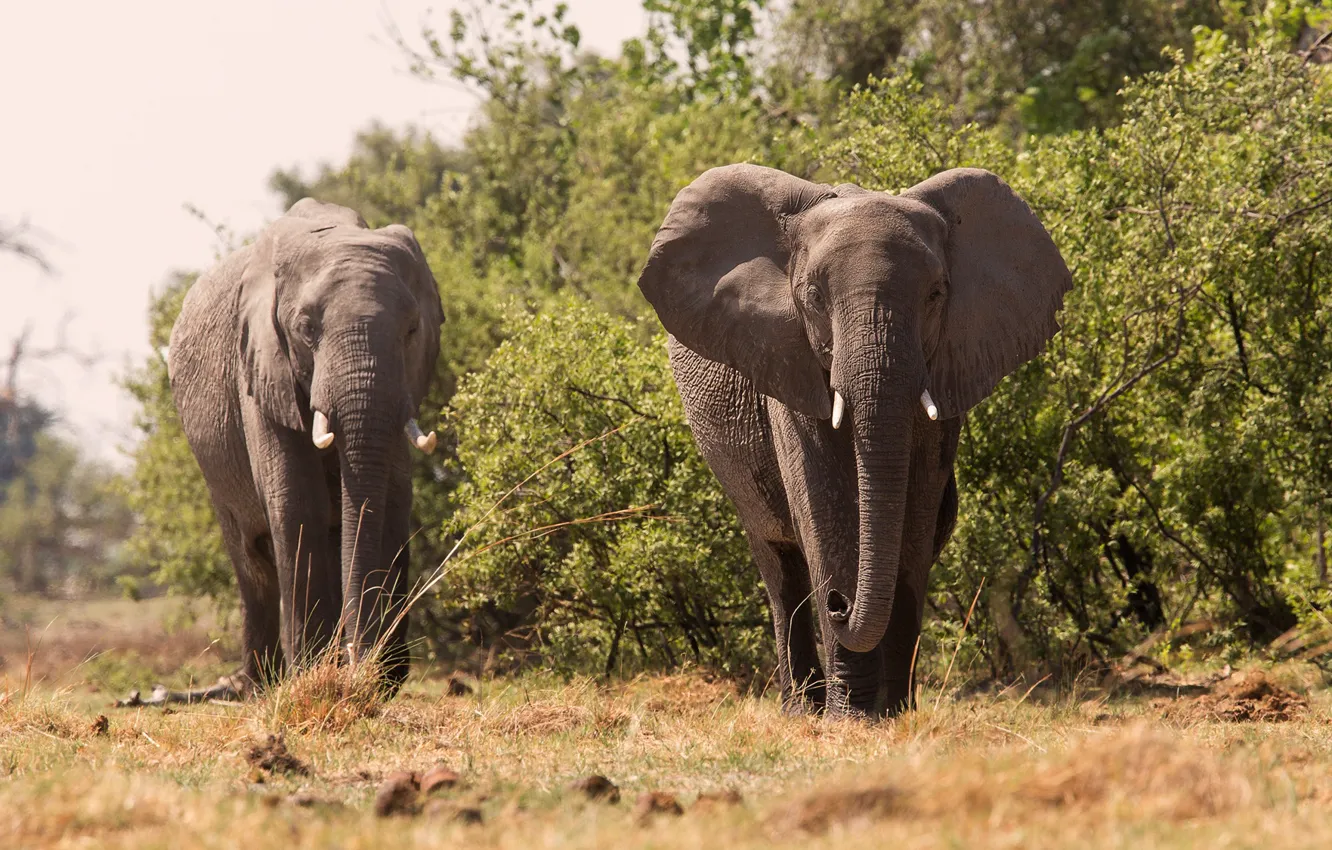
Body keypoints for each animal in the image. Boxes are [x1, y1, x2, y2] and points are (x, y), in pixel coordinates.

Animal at [128, 199, 444, 705]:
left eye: (413, 329)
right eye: (306, 329)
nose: (358, 662)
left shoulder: (404, 387)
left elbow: (393, 501)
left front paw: (380, 679)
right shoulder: (259, 368)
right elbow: (296, 501)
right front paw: (314, 675)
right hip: (213, 464)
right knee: (252, 560)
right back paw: (261, 685)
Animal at [637, 165, 1071, 718]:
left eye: (936, 294)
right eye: (814, 296)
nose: (840, 604)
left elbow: (915, 515)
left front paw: (894, 713)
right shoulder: (788, 363)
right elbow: (824, 509)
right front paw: (851, 718)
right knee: (780, 567)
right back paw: (801, 709)